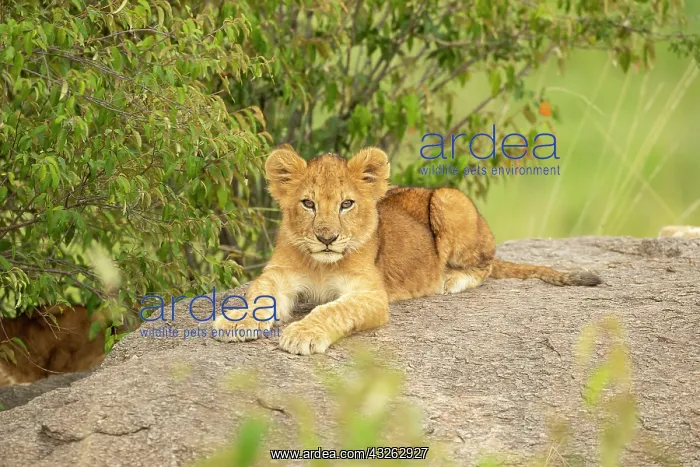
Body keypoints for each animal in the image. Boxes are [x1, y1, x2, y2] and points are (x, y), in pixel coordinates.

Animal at [212, 147, 600, 355]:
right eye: (308, 204)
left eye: (346, 204)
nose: (327, 238)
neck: (322, 263)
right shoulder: (279, 275)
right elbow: (257, 294)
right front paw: (236, 321)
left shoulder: (371, 294)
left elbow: (332, 310)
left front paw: (303, 334)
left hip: (449, 198)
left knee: (486, 264)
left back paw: (450, 280)